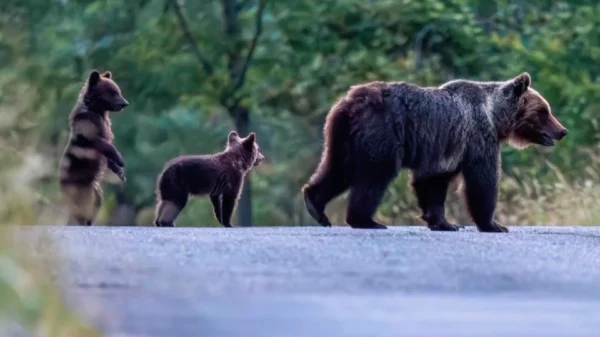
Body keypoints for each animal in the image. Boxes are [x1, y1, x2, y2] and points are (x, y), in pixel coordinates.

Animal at [304, 73, 568, 231]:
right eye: (544, 111)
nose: (562, 130)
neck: (495, 117)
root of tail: (349, 102)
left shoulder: (446, 149)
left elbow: (433, 182)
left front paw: (444, 222)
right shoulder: (477, 137)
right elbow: (482, 181)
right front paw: (493, 224)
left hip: (342, 137)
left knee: (338, 169)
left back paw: (315, 206)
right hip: (381, 132)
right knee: (375, 176)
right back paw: (366, 220)